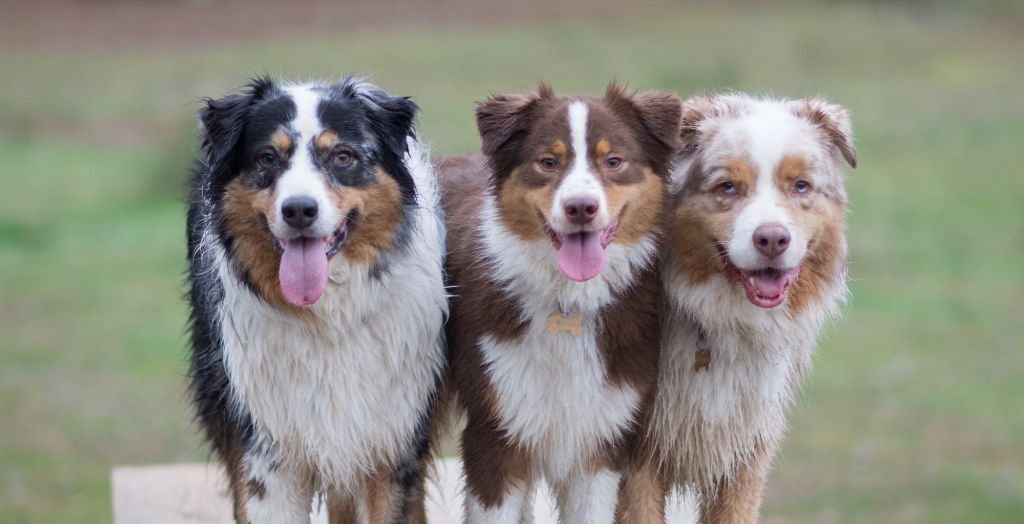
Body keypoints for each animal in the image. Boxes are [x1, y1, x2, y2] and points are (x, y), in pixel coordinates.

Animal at [185, 75, 448, 521]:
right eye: (267, 157)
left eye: (342, 157)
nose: (299, 210)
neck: (327, 318)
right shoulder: (264, 451)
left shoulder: (390, 444)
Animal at [438, 83, 679, 521]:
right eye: (549, 162)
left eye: (613, 161)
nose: (580, 207)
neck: (568, 303)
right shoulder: (495, 435)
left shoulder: (599, 442)